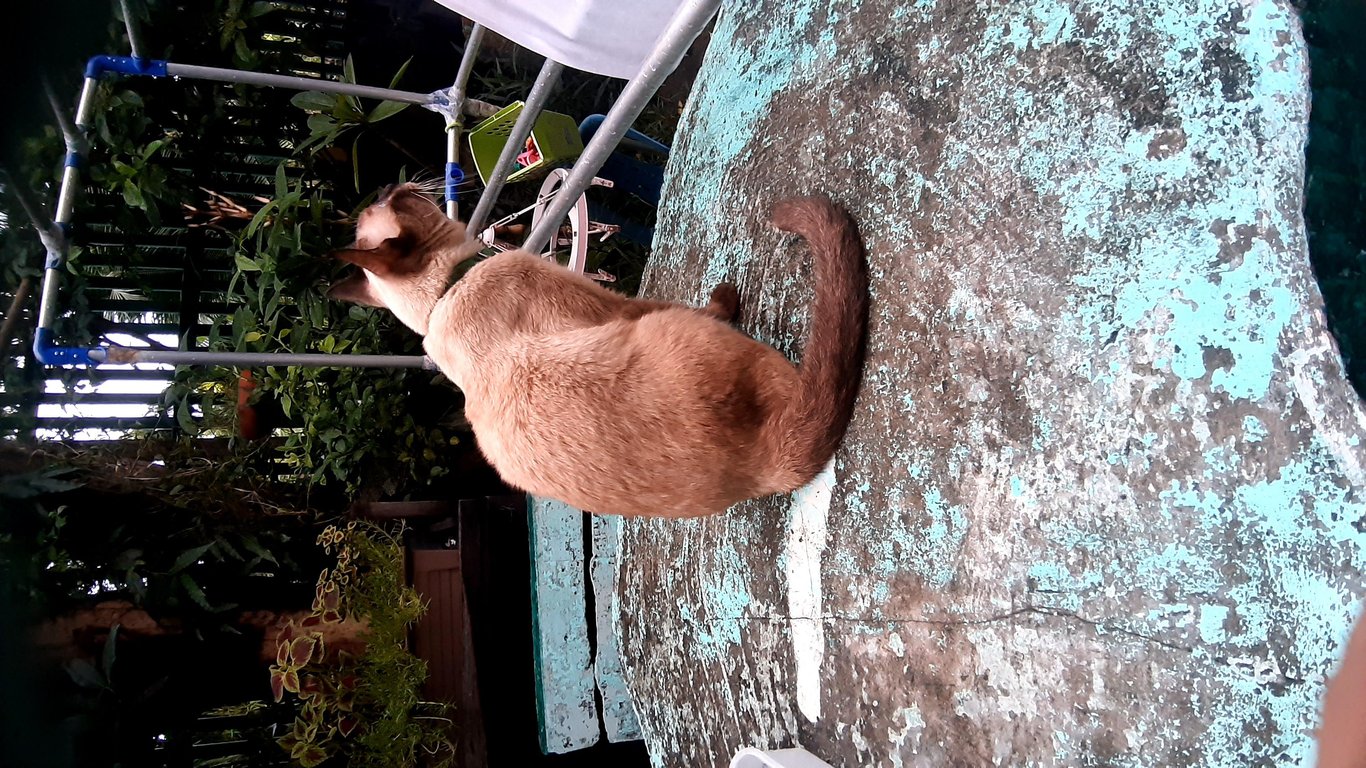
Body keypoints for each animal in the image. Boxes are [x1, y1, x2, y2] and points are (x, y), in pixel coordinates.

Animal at [327, 183, 868, 517]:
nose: (393, 184)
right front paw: (725, 299)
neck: (445, 293)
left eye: (385, 198)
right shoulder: (616, 306)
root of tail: (768, 466)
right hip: (671, 329)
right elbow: (680, 300)